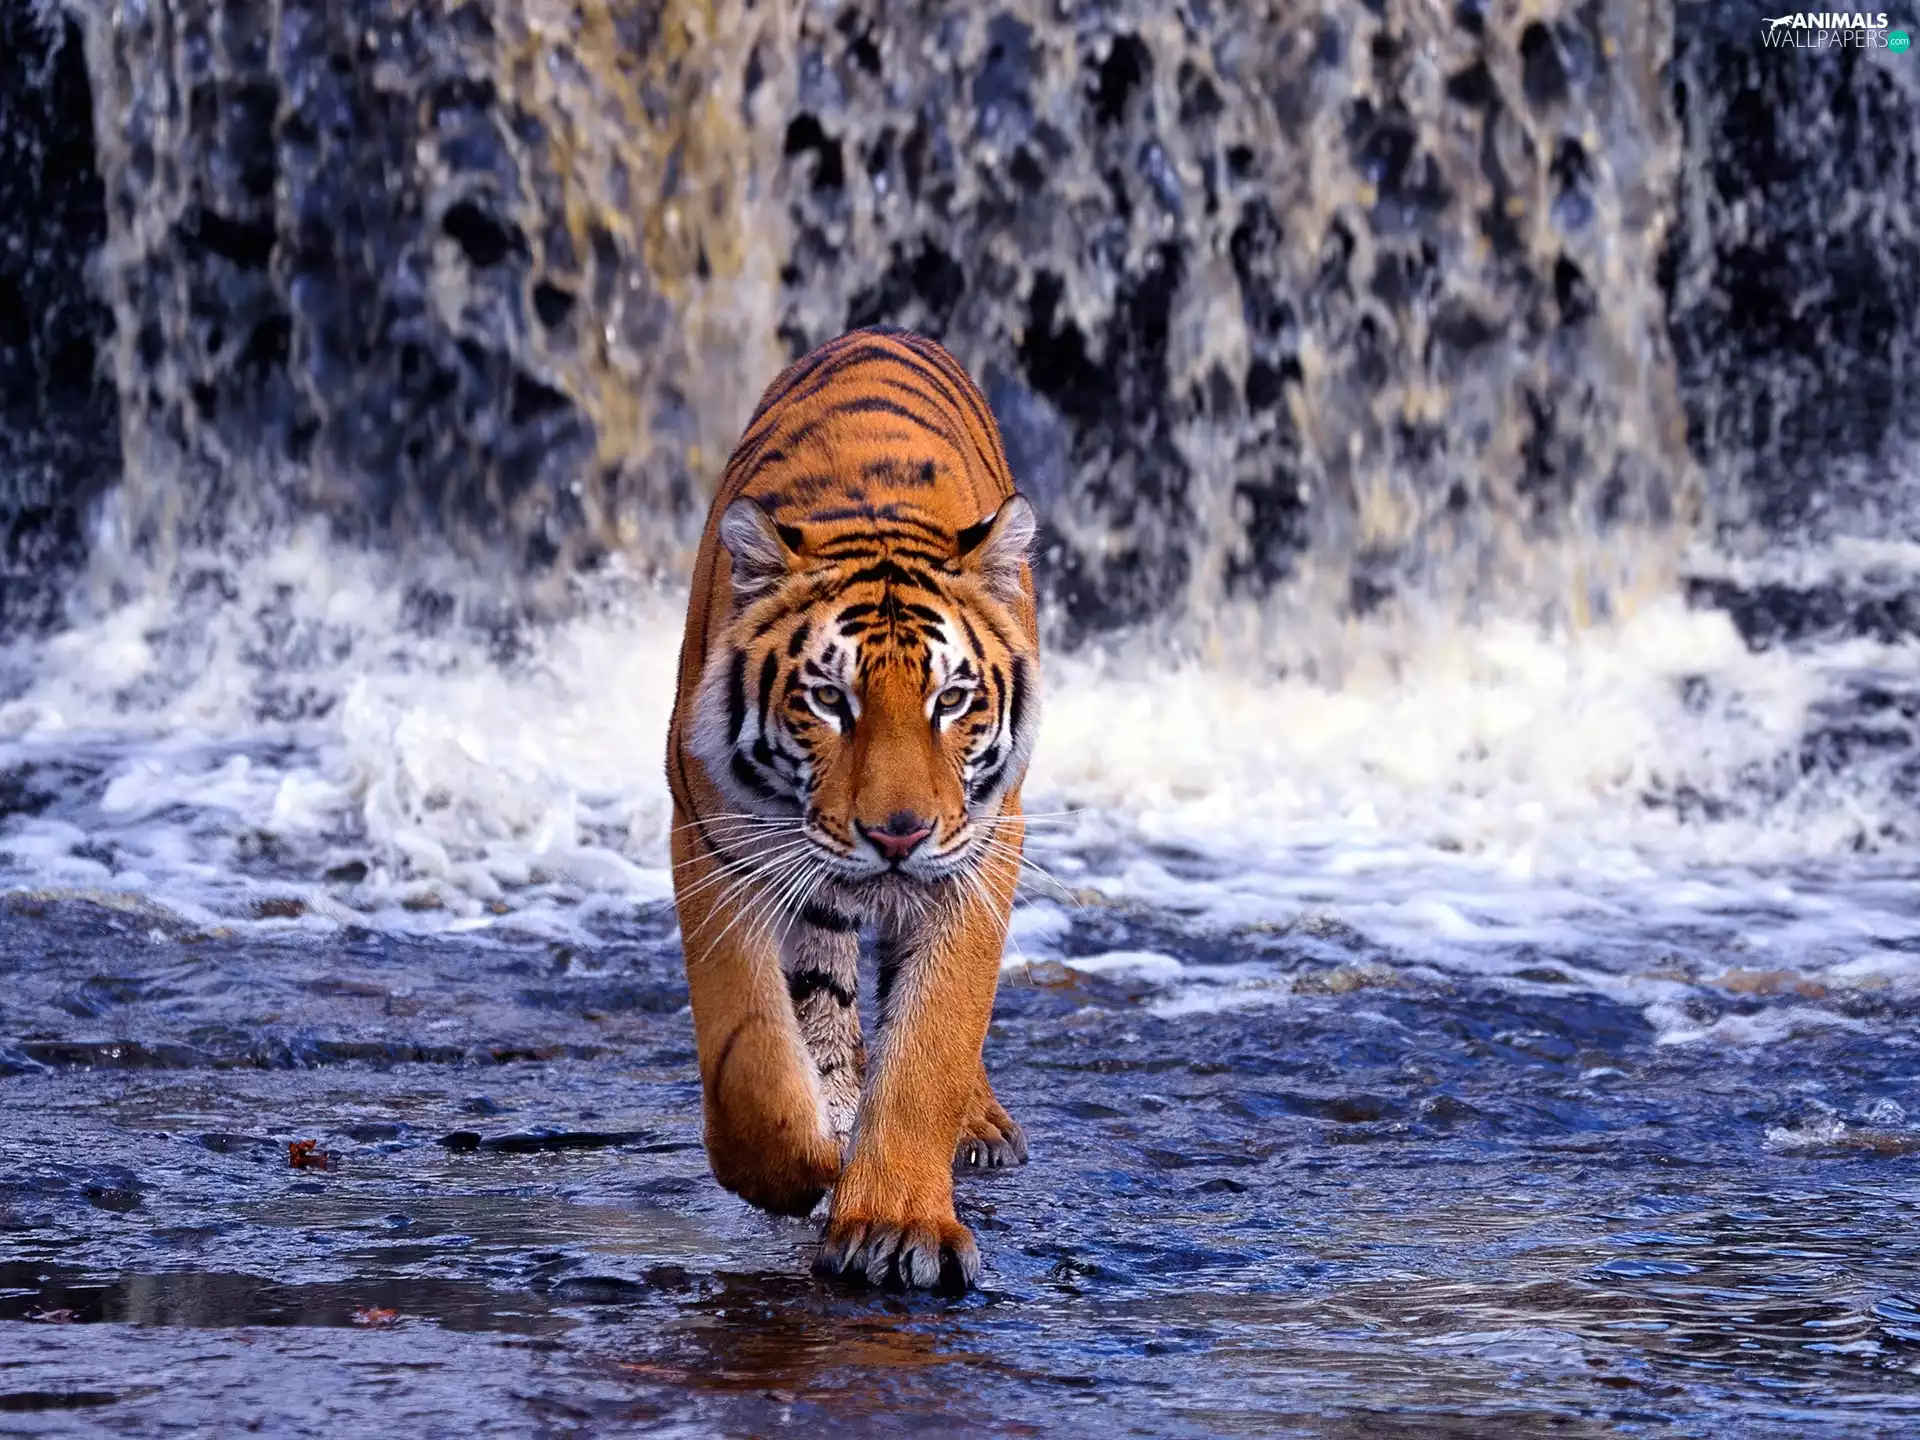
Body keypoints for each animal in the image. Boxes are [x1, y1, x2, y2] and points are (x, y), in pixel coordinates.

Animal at [663, 325, 1042, 1293]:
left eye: (952, 699)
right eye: (830, 700)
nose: (897, 835)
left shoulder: (980, 852)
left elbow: (933, 1040)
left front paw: (896, 1223)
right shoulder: (716, 840)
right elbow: (750, 1049)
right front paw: (798, 1168)